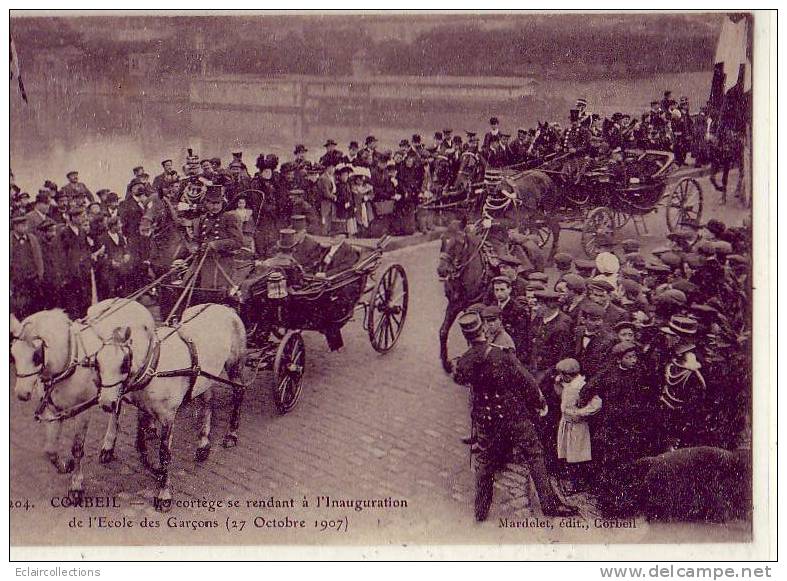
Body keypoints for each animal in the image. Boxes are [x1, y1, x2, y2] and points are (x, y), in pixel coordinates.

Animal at [10, 300, 155, 498]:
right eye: (13, 353)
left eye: (37, 356)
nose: (21, 394)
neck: (71, 362)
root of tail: (135, 303)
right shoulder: (52, 411)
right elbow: (50, 449)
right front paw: (65, 465)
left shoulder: (83, 411)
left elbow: (77, 448)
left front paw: (76, 485)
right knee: (115, 409)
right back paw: (109, 446)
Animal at [97, 302, 248, 510]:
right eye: (97, 362)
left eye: (125, 363)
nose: (106, 403)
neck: (154, 367)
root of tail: (226, 307)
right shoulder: (143, 408)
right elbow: (140, 446)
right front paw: (154, 470)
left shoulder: (168, 417)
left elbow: (164, 453)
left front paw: (163, 493)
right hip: (204, 376)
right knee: (208, 402)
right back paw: (203, 444)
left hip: (235, 366)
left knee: (238, 393)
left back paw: (231, 434)